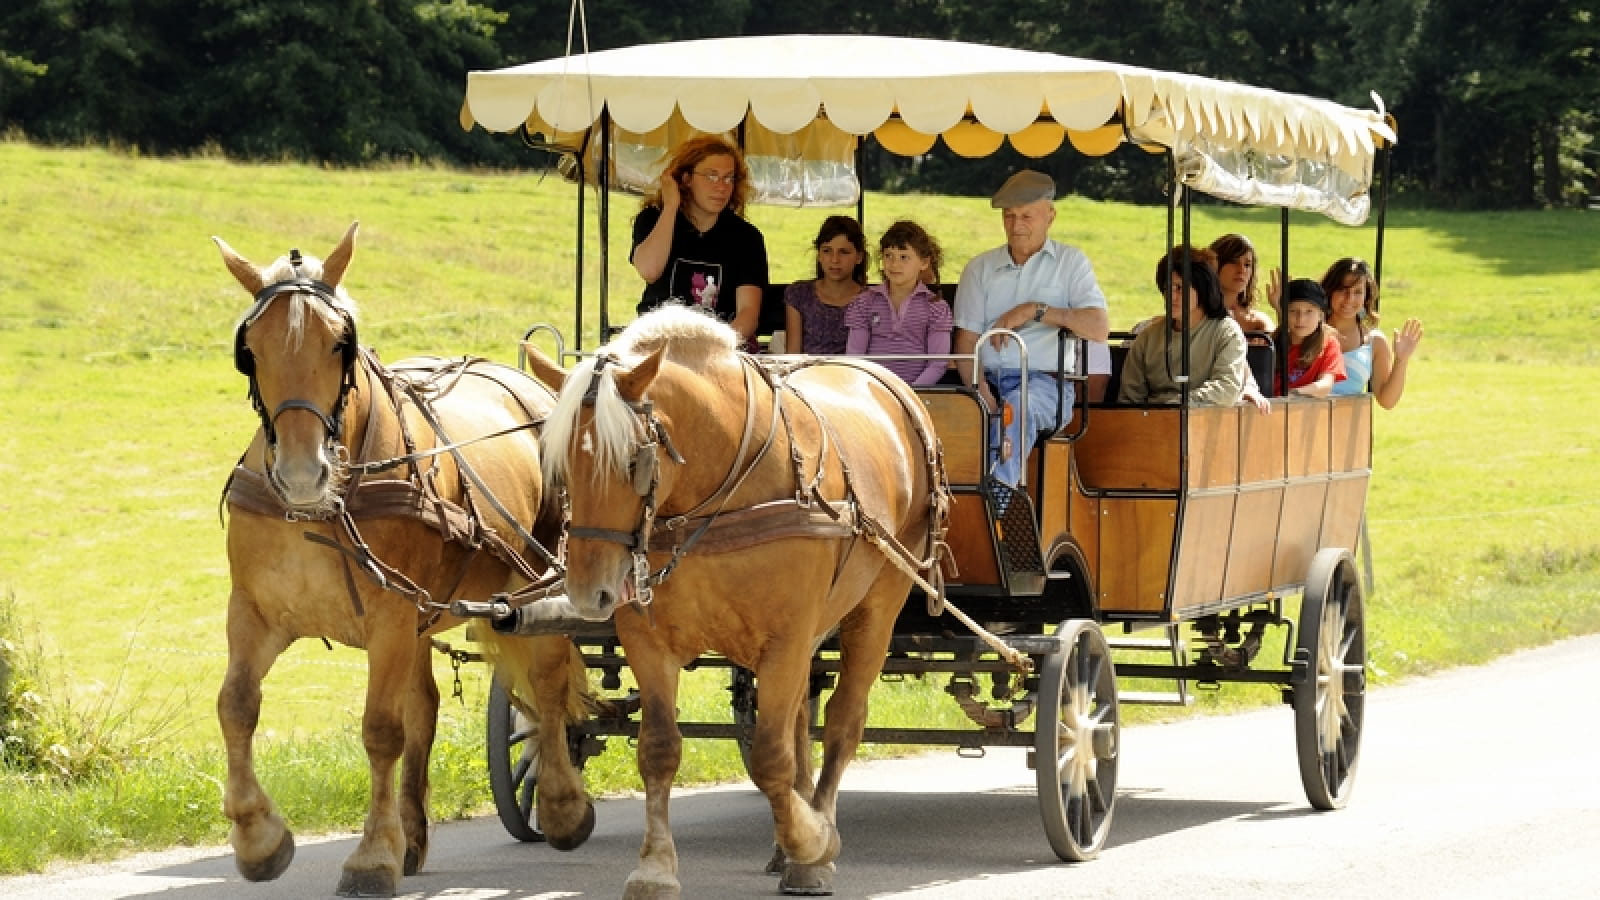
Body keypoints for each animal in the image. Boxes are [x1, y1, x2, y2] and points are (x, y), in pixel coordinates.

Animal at [209, 222, 592, 890]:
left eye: (341, 344)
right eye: (249, 349)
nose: (303, 473)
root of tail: (534, 385)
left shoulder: (389, 619)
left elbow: (381, 731)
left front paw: (371, 857)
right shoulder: (254, 613)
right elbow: (236, 707)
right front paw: (259, 839)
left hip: (540, 582)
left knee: (545, 684)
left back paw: (561, 805)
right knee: (427, 709)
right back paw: (414, 834)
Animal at [531, 304, 947, 890]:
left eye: (633, 460)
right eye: (559, 461)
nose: (591, 594)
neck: (718, 493)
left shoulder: (787, 637)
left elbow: (773, 756)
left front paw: (813, 842)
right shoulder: (648, 639)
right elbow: (660, 749)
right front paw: (656, 867)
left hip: (879, 603)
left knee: (843, 719)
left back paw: (813, 839)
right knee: (800, 721)